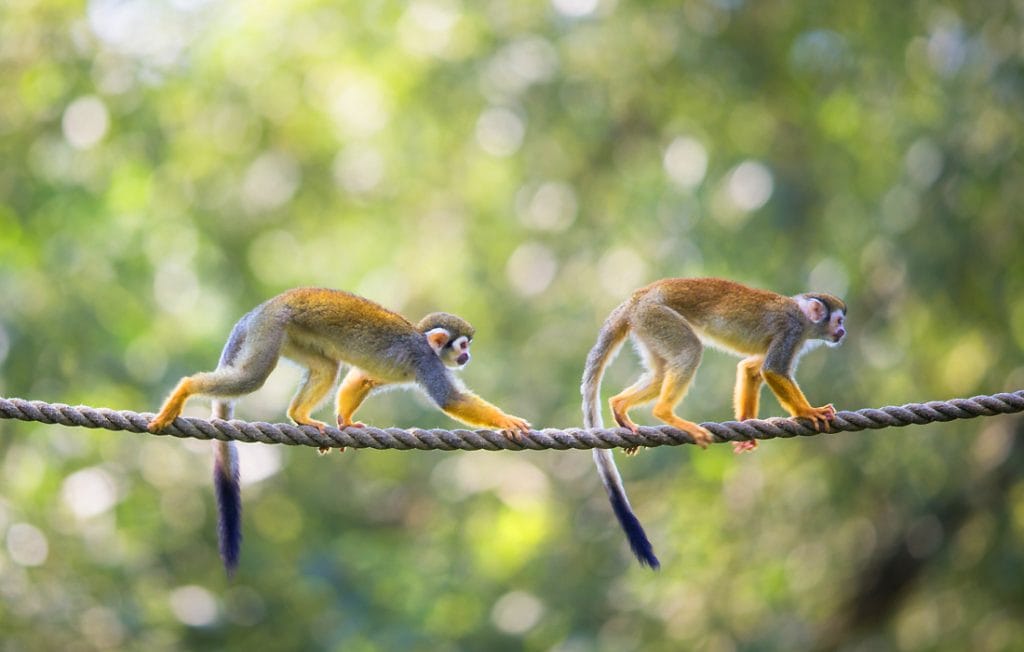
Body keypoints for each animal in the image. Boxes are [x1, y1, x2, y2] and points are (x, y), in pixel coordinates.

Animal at [148, 287, 531, 574]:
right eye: (462, 345)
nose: (467, 357)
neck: (428, 347)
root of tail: (261, 309)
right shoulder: (426, 363)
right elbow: (450, 400)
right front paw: (507, 421)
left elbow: (361, 378)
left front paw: (345, 423)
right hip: (270, 330)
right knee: (251, 378)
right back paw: (184, 390)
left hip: (292, 335)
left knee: (328, 367)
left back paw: (300, 416)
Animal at [581, 277, 846, 567]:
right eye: (838, 320)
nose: (843, 331)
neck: (803, 315)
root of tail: (636, 298)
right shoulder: (792, 330)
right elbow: (772, 370)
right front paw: (808, 412)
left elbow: (751, 369)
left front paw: (747, 429)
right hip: (657, 316)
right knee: (690, 350)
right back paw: (665, 412)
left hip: (647, 325)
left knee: (661, 371)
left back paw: (620, 406)